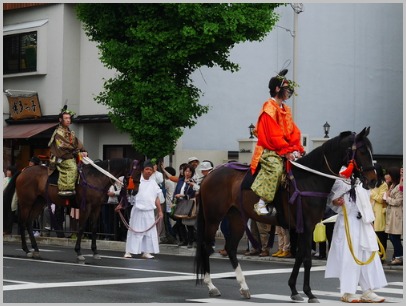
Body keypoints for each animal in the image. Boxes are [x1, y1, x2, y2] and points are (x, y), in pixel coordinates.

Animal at [2, 158, 141, 260]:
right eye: (137, 172)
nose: (135, 191)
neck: (96, 177)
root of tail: (23, 171)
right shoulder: (86, 206)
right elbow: (81, 227)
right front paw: (79, 252)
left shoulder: (97, 207)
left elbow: (94, 228)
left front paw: (95, 251)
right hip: (26, 202)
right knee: (23, 223)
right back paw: (26, 250)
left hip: (39, 202)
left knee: (29, 223)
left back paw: (35, 249)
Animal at [194, 128, 378, 302]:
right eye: (362, 151)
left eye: (371, 151)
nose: (373, 180)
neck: (310, 179)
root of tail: (210, 174)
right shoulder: (306, 226)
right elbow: (306, 259)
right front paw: (309, 293)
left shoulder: (303, 227)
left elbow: (300, 256)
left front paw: (295, 290)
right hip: (213, 217)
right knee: (206, 245)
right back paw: (211, 286)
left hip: (237, 217)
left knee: (231, 248)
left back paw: (244, 287)